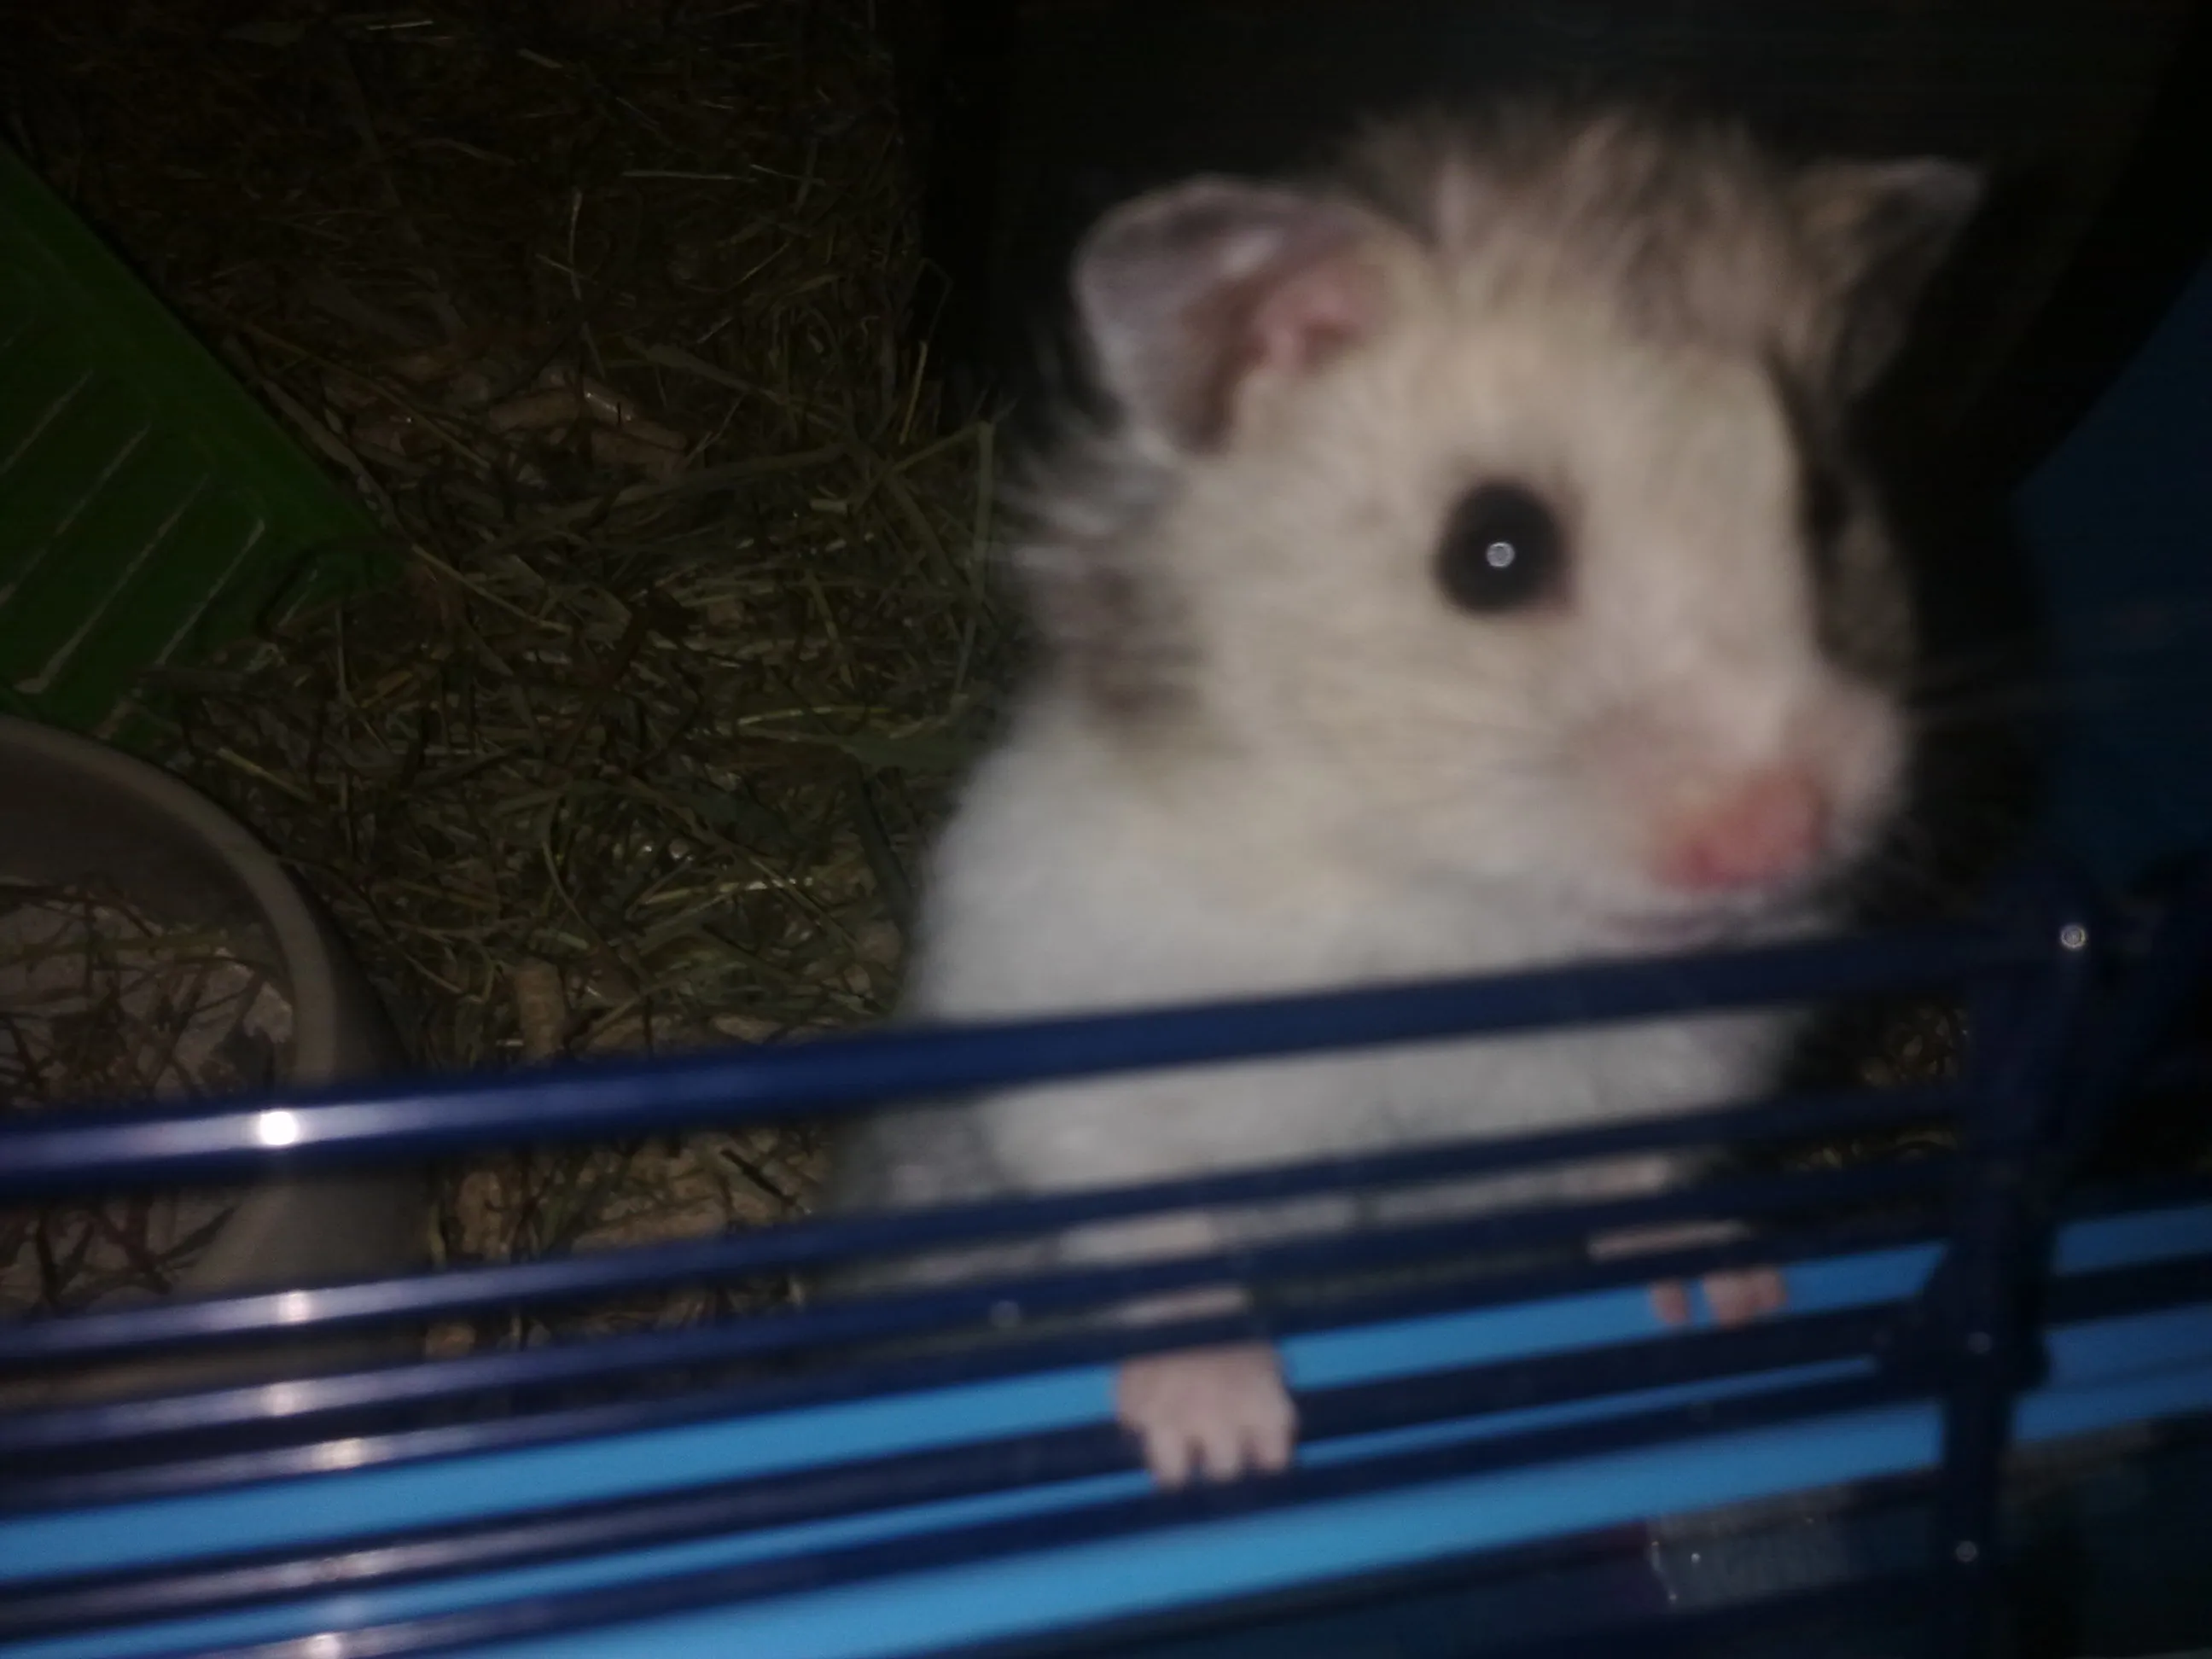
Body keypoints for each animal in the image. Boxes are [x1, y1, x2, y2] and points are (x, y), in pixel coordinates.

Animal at [823, 105, 1980, 1488]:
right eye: (1494, 549)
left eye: (1826, 507)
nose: (1773, 833)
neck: (1468, 908)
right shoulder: (1080, 1035)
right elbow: (1154, 1230)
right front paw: (1228, 1444)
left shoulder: (1686, 1056)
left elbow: (1644, 1176)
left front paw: (1733, 1303)